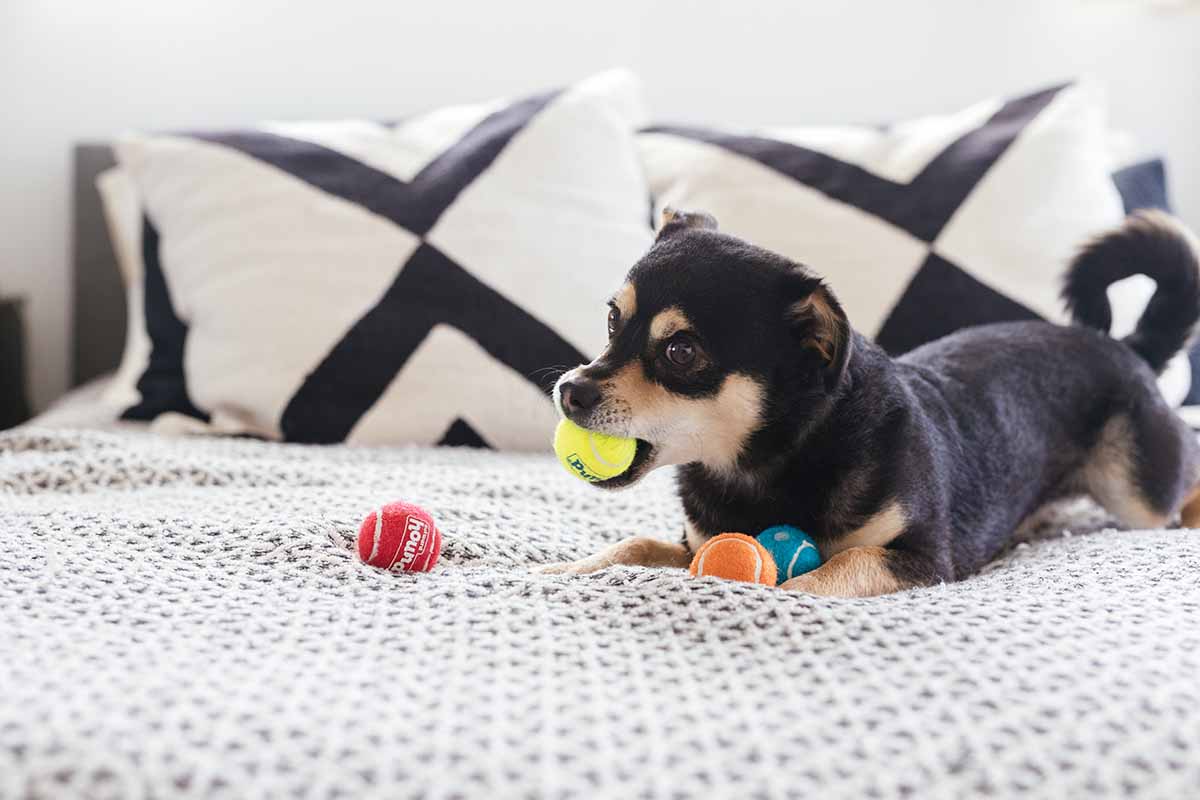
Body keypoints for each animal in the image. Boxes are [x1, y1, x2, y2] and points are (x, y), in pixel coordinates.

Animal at [542, 209, 1200, 597]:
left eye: (681, 352)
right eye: (612, 321)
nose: (570, 390)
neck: (767, 464)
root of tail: (1124, 345)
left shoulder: (923, 561)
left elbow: (828, 570)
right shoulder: (691, 544)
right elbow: (635, 545)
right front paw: (561, 570)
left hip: (1136, 491)